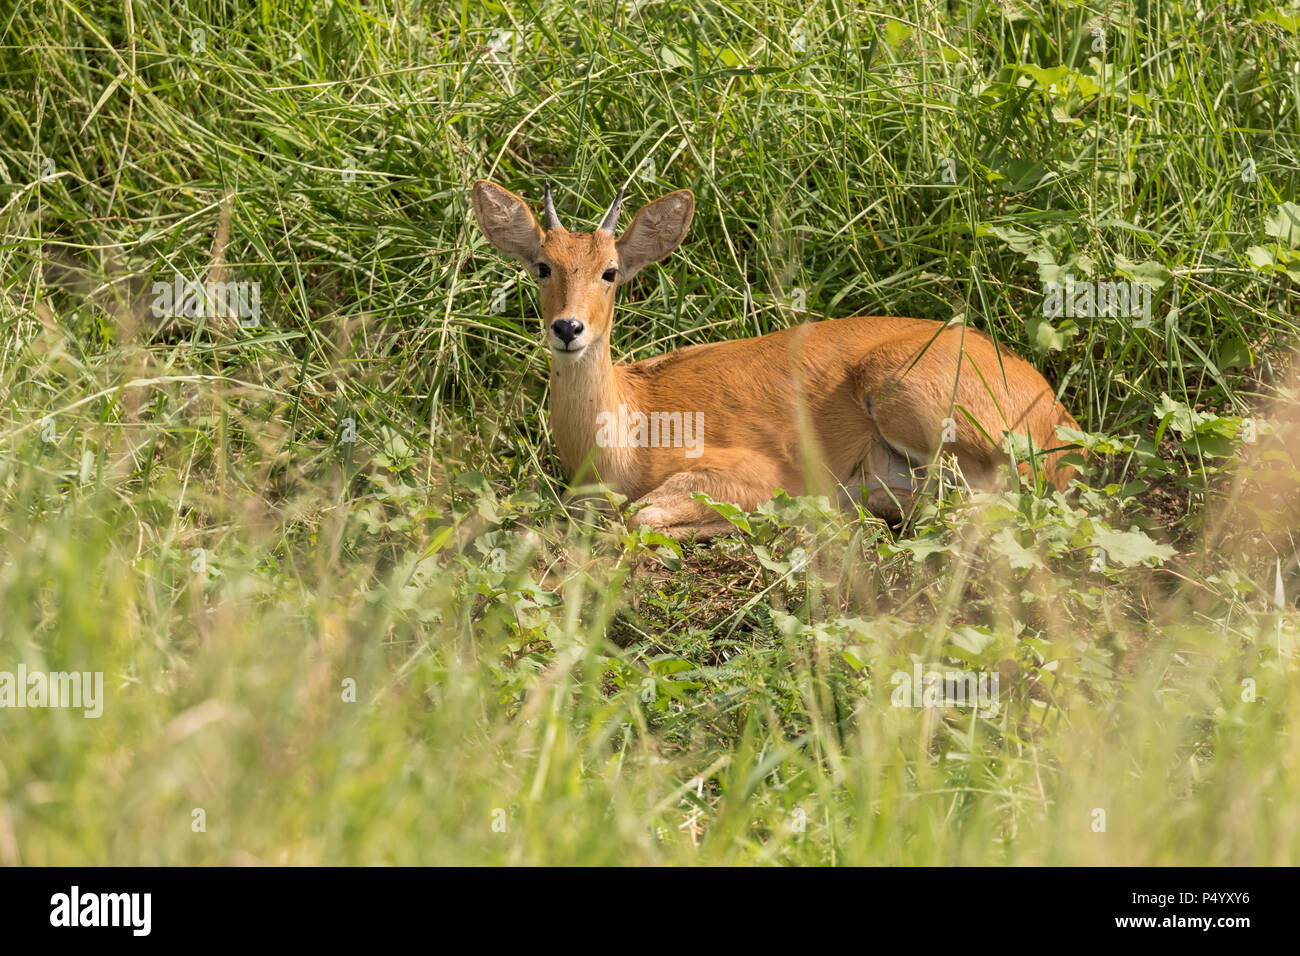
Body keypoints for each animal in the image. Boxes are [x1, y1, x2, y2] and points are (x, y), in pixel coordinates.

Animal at [473, 180, 1081, 538]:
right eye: (542, 266)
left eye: (610, 271)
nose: (567, 327)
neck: (630, 426)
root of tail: (1054, 412)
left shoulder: (746, 470)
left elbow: (641, 515)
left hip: (908, 399)